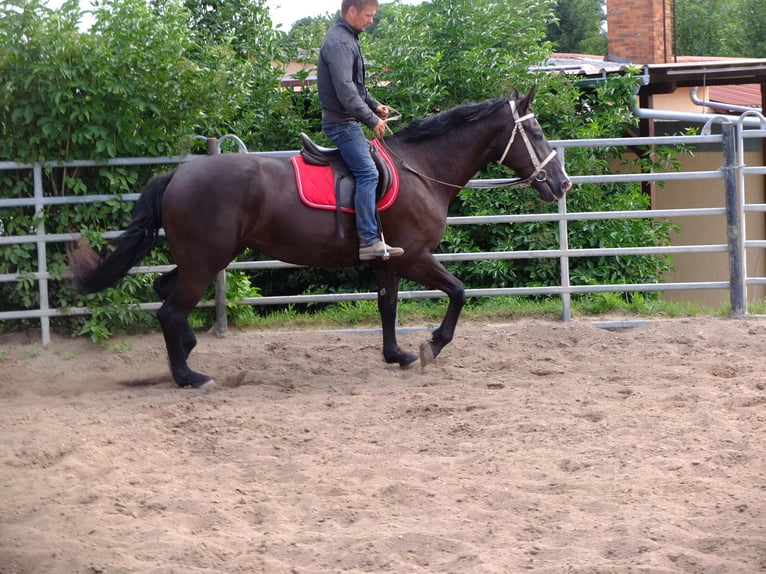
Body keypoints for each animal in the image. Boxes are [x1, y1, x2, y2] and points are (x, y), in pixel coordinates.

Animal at [70, 88, 568, 390]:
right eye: (536, 131)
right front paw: (432, 345)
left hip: (204, 258)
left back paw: (187, 354)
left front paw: (396, 355)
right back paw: (189, 376)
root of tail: (177, 175)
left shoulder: (388, 261)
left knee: (165, 292)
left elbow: (388, 307)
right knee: (171, 308)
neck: (421, 170)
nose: (562, 184)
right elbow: (459, 292)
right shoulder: (415, 257)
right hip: (206, 261)